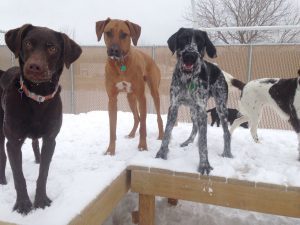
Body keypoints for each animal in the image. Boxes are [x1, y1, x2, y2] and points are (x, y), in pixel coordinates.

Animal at [95, 18, 164, 155]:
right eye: (108, 33)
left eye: (124, 34)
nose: (114, 50)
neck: (121, 63)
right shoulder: (112, 99)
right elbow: (112, 129)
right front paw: (110, 151)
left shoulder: (142, 97)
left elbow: (144, 126)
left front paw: (142, 146)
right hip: (130, 97)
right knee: (137, 118)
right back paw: (131, 134)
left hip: (154, 92)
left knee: (158, 117)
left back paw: (161, 136)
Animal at [156, 28, 231, 175]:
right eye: (183, 38)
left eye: (201, 41)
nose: (190, 55)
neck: (188, 79)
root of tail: (218, 68)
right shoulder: (173, 106)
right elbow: (167, 133)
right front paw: (162, 154)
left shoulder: (202, 110)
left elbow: (203, 142)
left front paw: (204, 165)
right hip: (192, 110)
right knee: (195, 127)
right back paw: (188, 142)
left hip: (221, 108)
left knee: (227, 132)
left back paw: (227, 153)